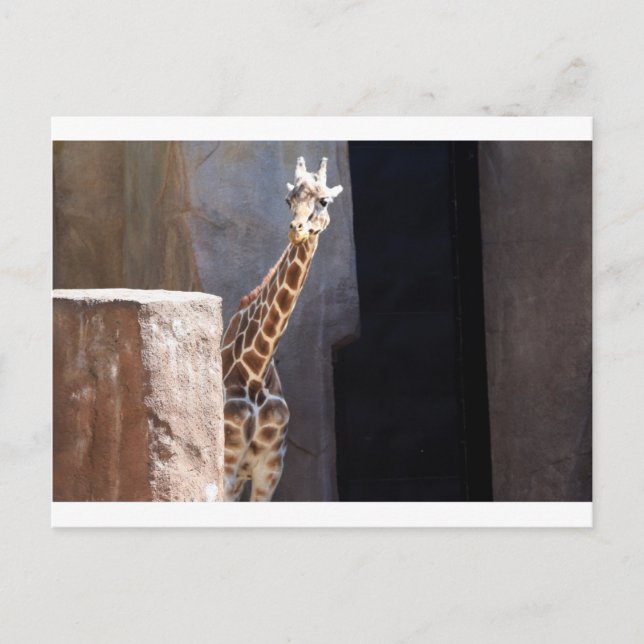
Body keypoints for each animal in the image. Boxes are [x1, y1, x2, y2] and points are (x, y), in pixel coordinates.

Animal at [220, 156, 343, 501]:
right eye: (288, 200)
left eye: (324, 200)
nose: (297, 230)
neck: (256, 367)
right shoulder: (227, 462)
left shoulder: (271, 466)